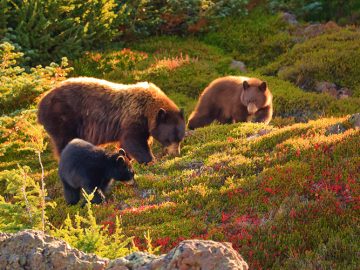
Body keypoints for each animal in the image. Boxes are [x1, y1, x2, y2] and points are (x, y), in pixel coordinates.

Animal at [38, 77, 186, 163]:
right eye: (170, 138)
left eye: (181, 138)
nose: (176, 154)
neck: (146, 110)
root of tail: (41, 102)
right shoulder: (132, 119)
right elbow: (133, 141)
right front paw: (149, 160)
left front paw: (125, 157)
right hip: (63, 119)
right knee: (65, 142)